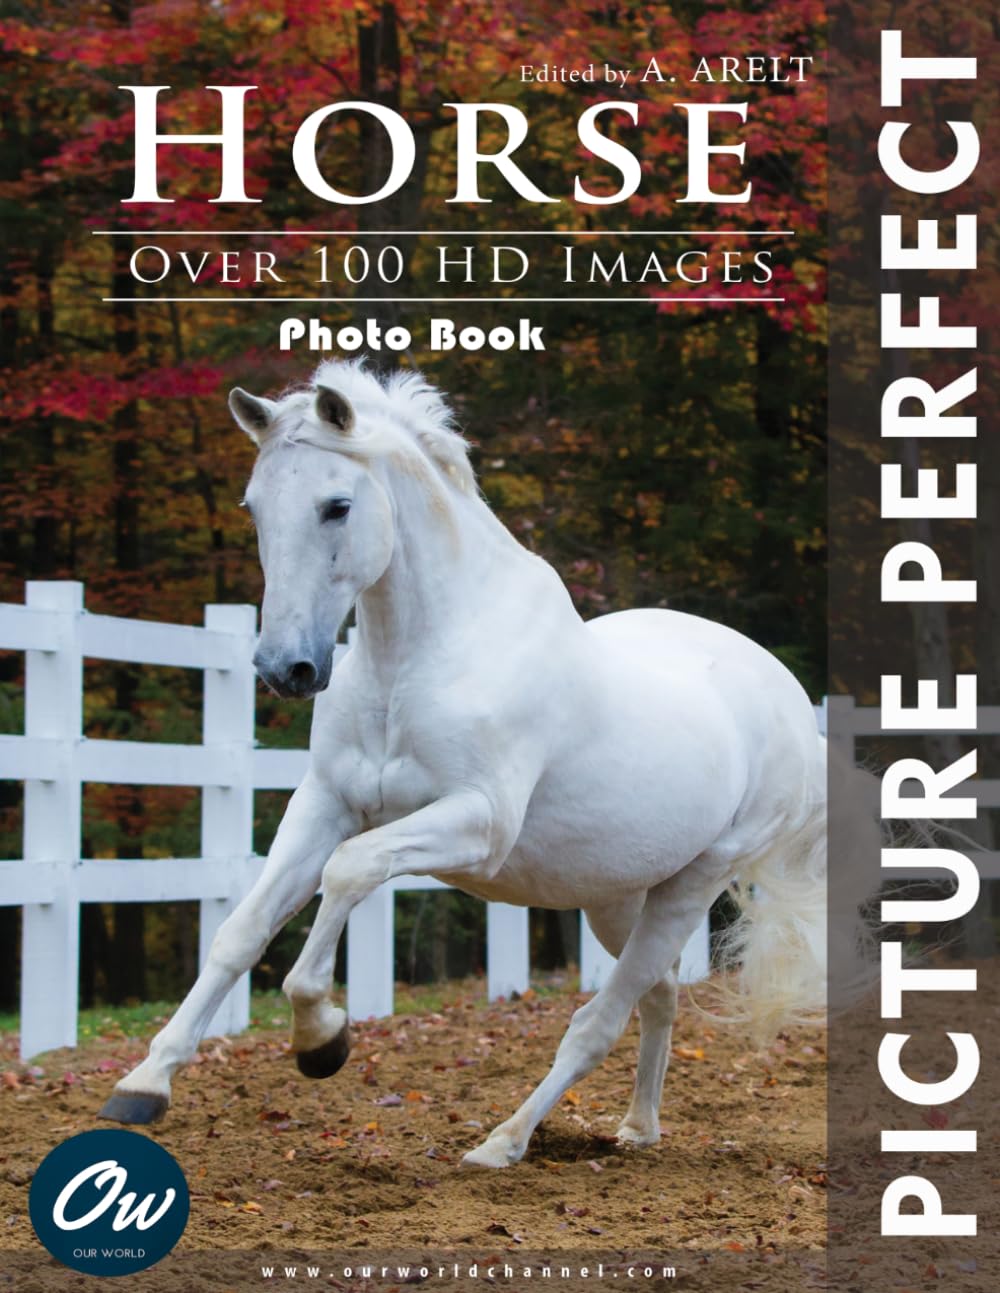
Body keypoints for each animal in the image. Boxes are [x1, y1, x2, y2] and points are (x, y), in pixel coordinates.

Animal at [99, 360, 828, 1168]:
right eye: (254, 506)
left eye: (336, 505)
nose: (284, 668)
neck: (419, 659)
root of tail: (792, 702)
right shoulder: (325, 803)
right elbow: (241, 930)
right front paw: (143, 1084)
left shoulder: (477, 824)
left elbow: (348, 872)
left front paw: (321, 1037)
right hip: (617, 894)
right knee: (659, 994)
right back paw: (637, 1128)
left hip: (692, 883)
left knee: (599, 1021)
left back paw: (503, 1141)